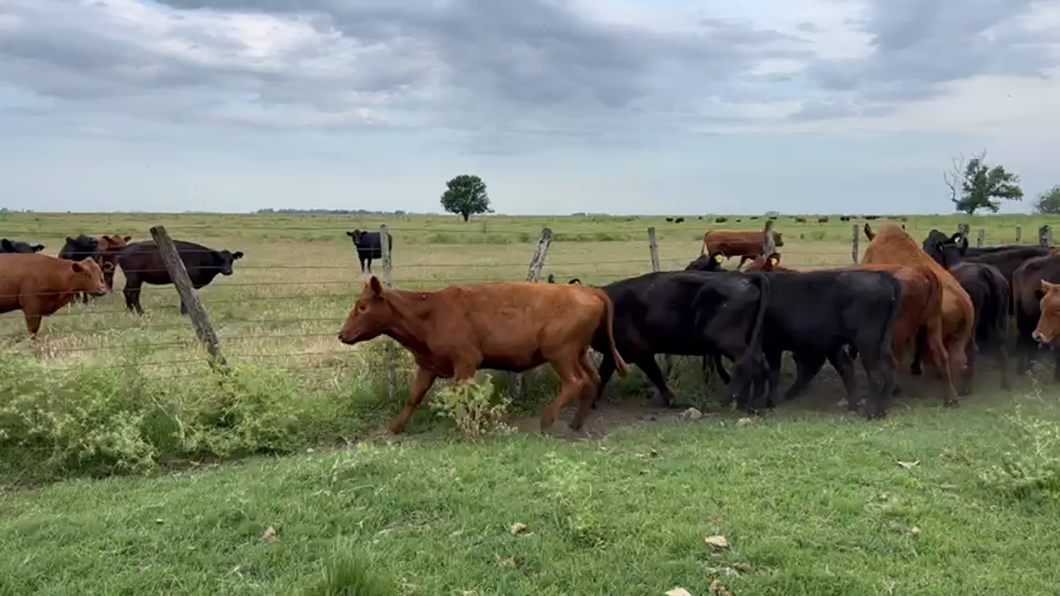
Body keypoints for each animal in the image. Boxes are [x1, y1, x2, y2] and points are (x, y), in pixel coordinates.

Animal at [334, 275, 623, 434]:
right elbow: (414, 397)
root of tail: (588, 290)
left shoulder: (466, 362)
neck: (430, 313)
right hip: (579, 353)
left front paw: (464, 426)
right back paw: (575, 423)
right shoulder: (428, 365)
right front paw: (395, 427)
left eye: (362, 306)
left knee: (576, 382)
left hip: (560, 353)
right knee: (593, 379)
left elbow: (461, 395)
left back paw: (547, 420)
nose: (342, 334)